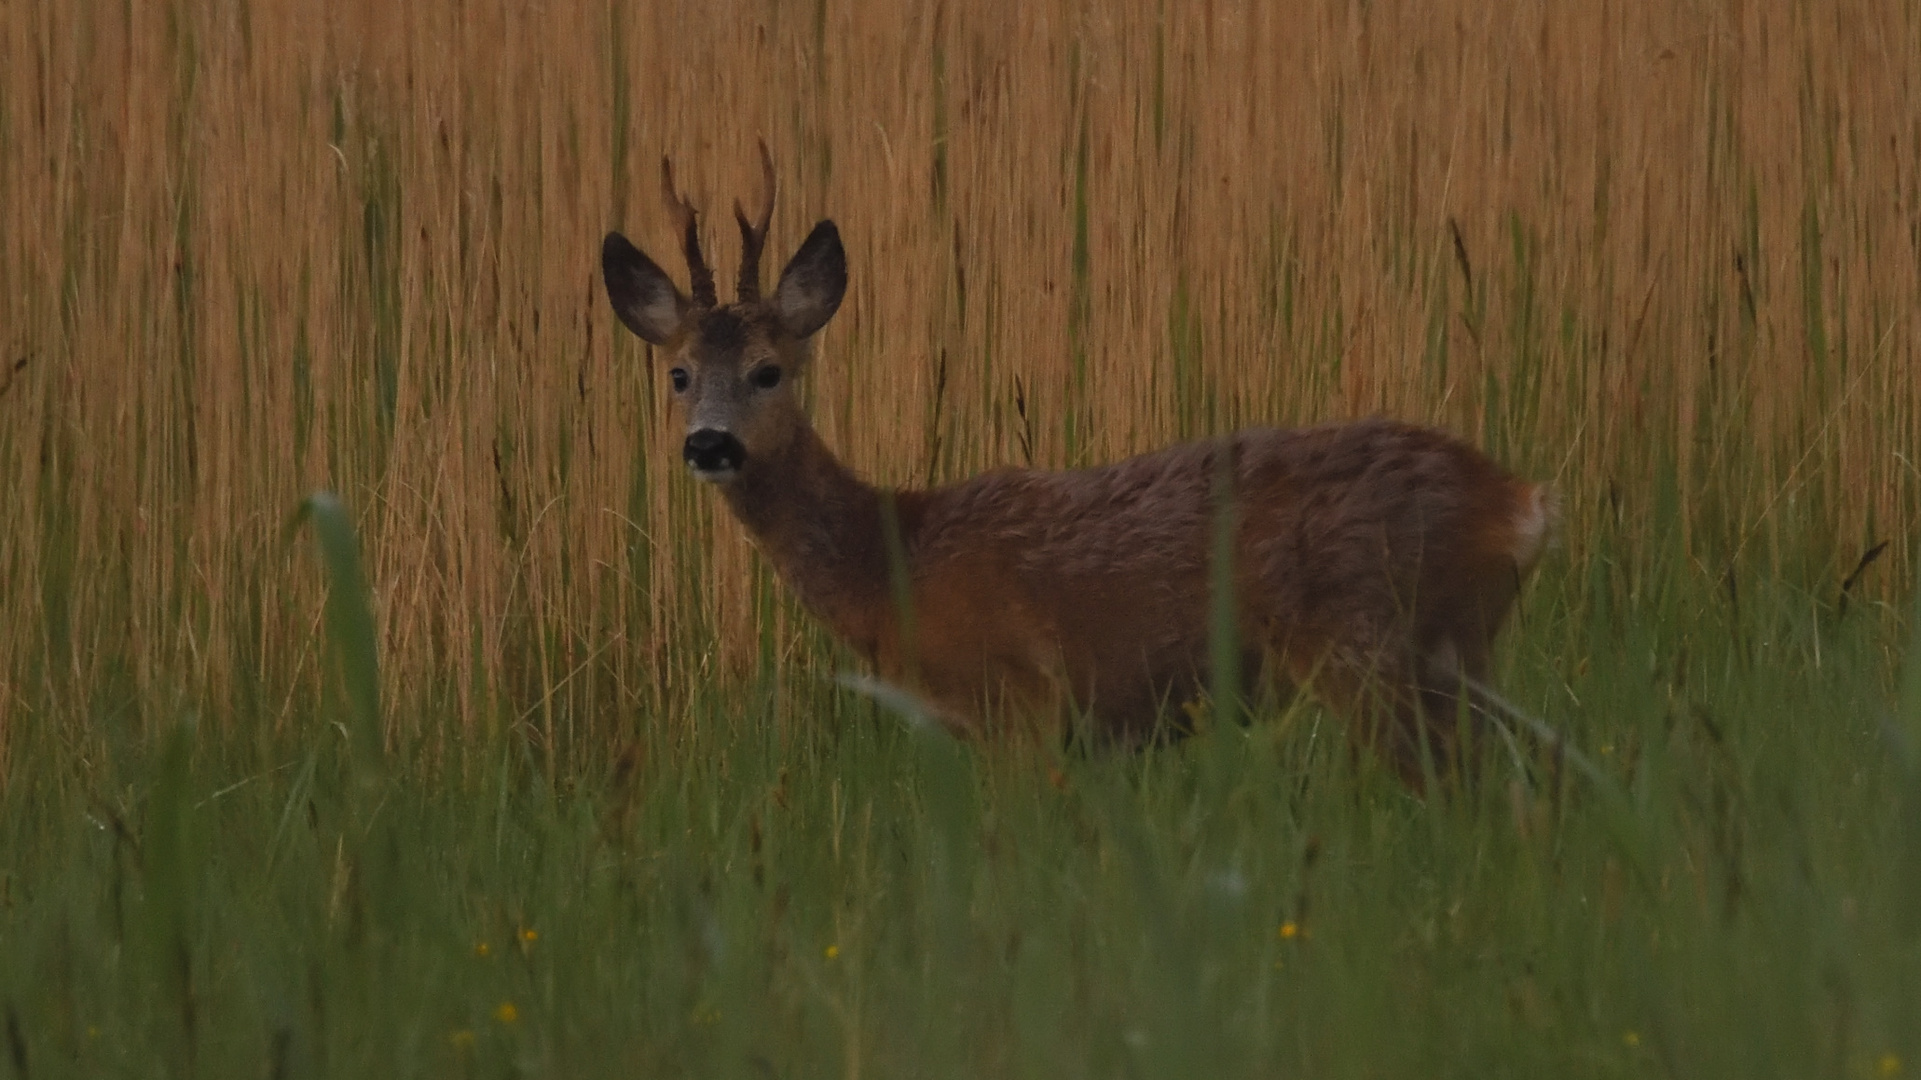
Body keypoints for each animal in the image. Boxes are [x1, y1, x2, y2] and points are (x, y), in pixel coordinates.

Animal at [603, 145, 1559, 780]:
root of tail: (1516, 503)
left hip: (1374, 645)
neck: (894, 561)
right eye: (677, 374)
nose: (710, 443)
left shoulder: (1020, 710)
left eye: (768, 370)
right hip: (1453, 651)